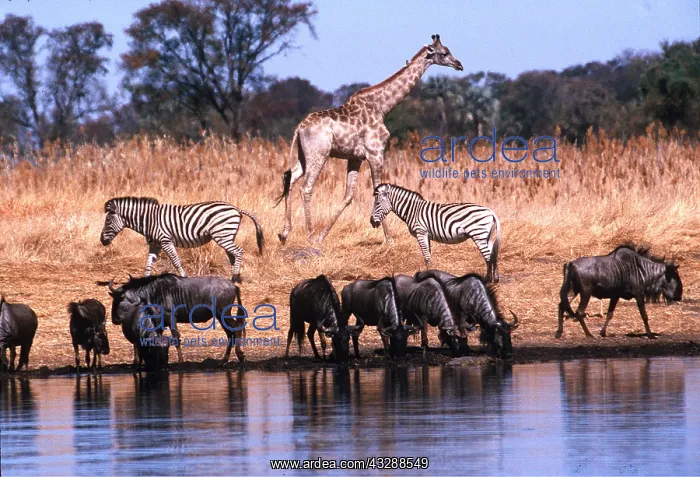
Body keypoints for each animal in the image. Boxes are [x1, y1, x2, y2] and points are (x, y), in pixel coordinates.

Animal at [100, 197, 264, 283]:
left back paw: (234, 277)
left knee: (239, 251)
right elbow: (148, 264)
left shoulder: (165, 240)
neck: (148, 219)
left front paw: (184, 277)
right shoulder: (155, 244)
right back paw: (234, 277)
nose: (102, 241)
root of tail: (236, 208)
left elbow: (175, 260)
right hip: (227, 236)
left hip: (222, 235)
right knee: (233, 255)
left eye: (108, 221)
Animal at [275, 34, 463, 244]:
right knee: (306, 187)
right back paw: (310, 235)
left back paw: (284, 233)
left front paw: (324, 235)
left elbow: (348, 196)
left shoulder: (355, 158)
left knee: (290, 179)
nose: (459, 64)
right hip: (318, 154)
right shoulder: (376, 153)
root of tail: (299, 128)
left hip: (303, 155)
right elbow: (378, 190)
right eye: (444, 53)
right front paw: (389, 239)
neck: (382, 106)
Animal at [369, 184, 501, 282]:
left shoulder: (421, 232)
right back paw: (493, 279)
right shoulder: (426, 235)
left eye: (377, 204)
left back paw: (487, 280)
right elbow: (428, 256)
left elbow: (426, 256)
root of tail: (490, 211)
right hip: (487, 236)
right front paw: (430, 273)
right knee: (492, 255)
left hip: (479, 235)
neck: (413, 210)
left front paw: (427, 277)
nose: (372, 222)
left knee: (488, 257)